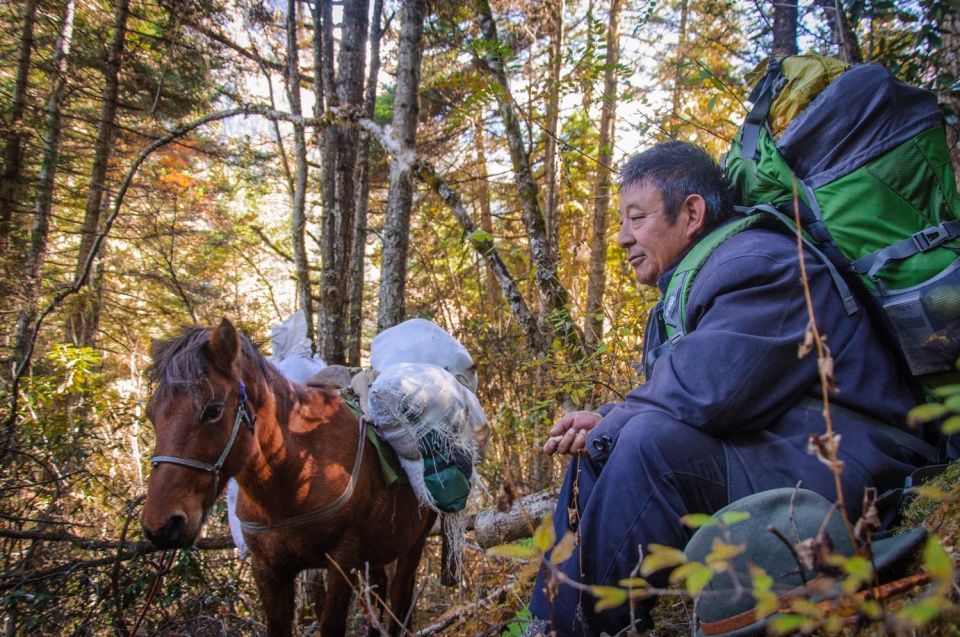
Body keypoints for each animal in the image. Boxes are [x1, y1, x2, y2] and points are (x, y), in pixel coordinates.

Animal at [140, 318, 436, 636]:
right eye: (151, 414)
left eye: (213, 410)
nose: (161, 526)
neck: (291, 482)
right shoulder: (267, 569)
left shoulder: (342, 560)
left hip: (412, 545)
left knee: (400, 604)